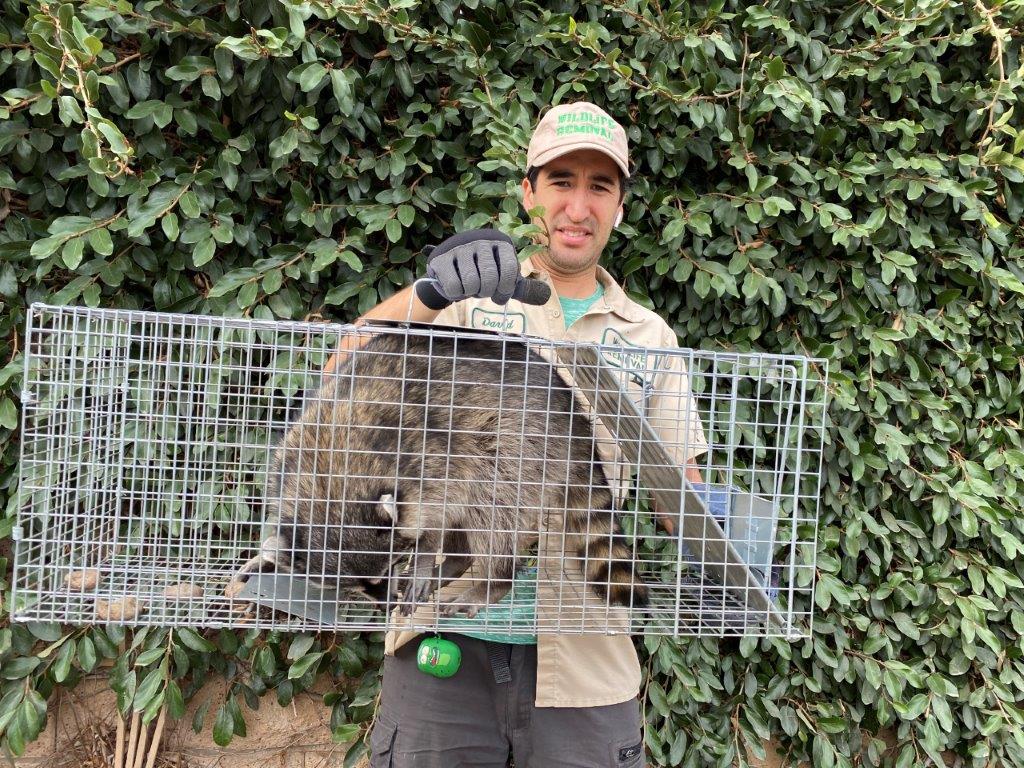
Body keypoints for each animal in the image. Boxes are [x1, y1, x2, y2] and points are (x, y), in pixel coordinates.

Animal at [263, 330, 648, 616]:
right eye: (358, 587)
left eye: (393, 565)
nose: (387, 605)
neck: (325, 475)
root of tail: (575, 419)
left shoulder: (426, 448)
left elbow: (436, 511)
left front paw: (424, 554)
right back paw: (458, 558)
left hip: (522, 445)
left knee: (491, 507)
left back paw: (493, 580)